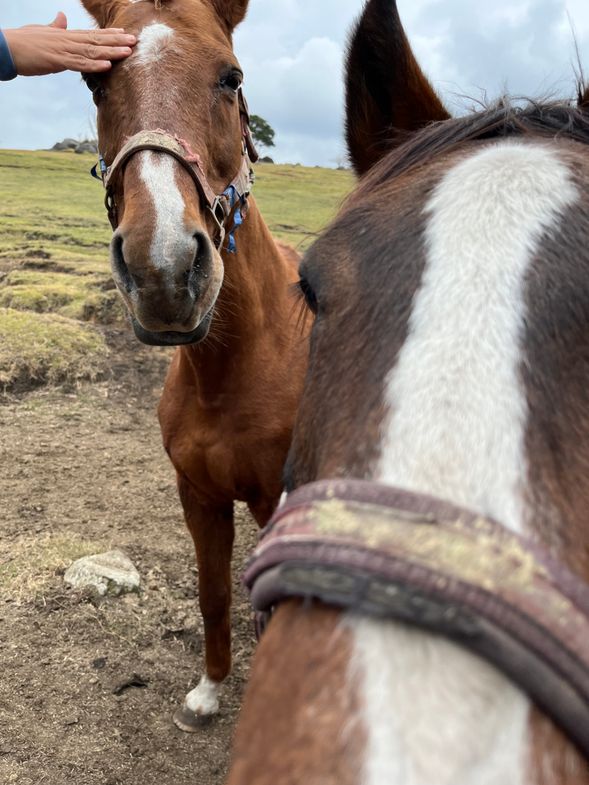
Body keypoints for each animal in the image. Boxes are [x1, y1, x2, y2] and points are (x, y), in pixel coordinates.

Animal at [80, 0, 309, 729]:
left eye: (231, 77)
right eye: (96, 84)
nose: (164, 267)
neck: (231, 370)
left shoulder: (270, 500)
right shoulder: (199, 495)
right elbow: (213, 592)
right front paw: (208, 691)